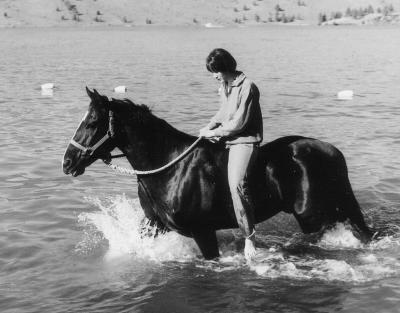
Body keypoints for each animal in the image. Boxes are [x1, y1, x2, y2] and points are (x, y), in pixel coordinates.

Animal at [61, 88, 372, 258]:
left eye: (92, 122)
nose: (67, 162)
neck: (170, 166)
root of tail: (331, 151)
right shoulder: (154, 224)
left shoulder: (203, 232)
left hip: (312, 215)